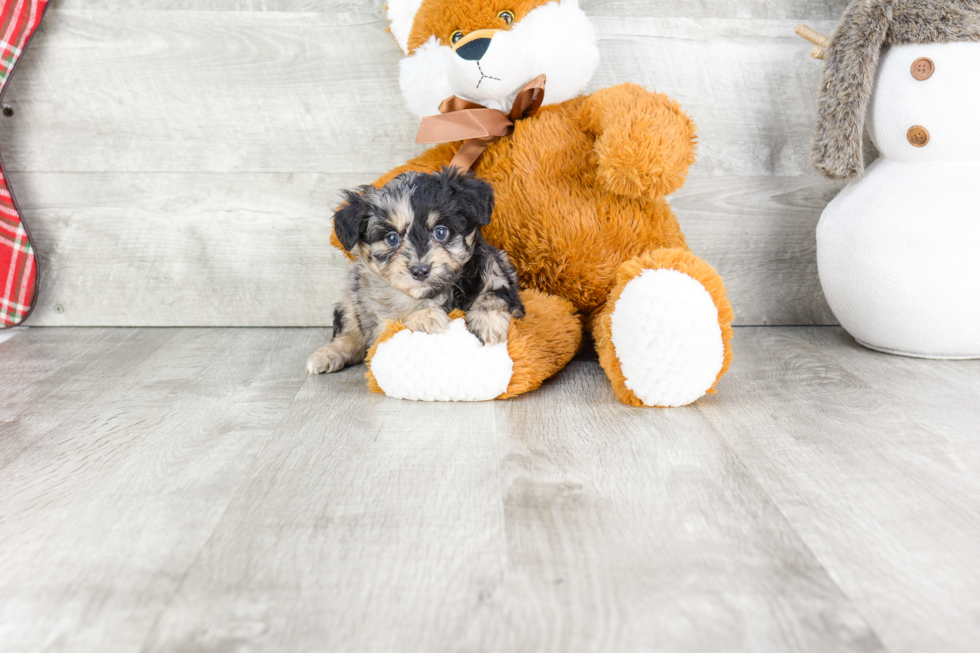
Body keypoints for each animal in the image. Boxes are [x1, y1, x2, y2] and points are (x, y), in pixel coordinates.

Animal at [306, 166, 524, 374]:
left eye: (441, 232)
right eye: (392, 238)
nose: (420, 271)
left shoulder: (497, 272)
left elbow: (493, 296)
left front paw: (489, 324)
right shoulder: (380, 309)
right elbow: (398, 312)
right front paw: (426, 317)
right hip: (351, 300)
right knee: (351, 336)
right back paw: (326, 355)